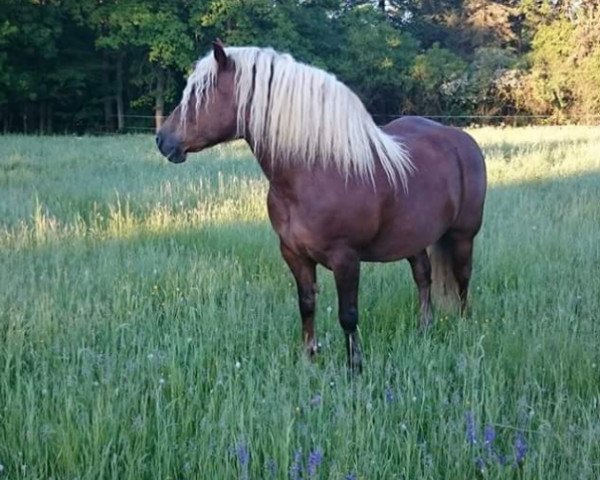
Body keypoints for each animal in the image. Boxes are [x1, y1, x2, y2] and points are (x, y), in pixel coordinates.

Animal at [156, 40, 488, 372]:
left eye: (200, 93)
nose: (162, 140)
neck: (315, 171)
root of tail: (464, 142)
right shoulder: (294, 254)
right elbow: (307, 305)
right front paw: (308, 357)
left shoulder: (346, 258)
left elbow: (348, 315)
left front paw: (354, 367)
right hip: (413, 238)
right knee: (423, 276)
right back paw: (425, 327)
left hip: (463, 237)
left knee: (462, 279)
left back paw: (463, 326)